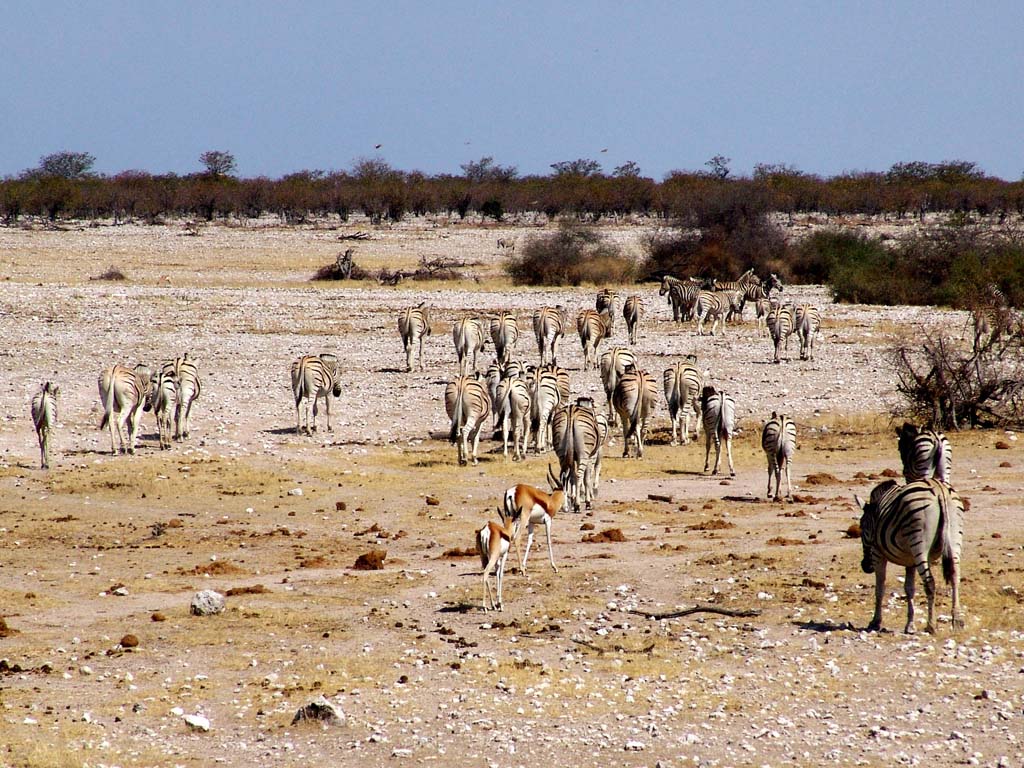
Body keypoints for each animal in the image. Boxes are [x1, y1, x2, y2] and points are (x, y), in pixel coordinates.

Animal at [856, 481, 966, 638]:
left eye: (861, 527)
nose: (865, 566)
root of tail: (939, 489)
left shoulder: (877, 553)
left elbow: (880, 588)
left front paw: (875, 622)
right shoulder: (911, 561)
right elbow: (909, 589)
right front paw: (910, 625)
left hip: (919, 544)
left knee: (930, 583)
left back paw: (931, 625)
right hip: (955, 539)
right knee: (955, 578)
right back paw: (957, 621)